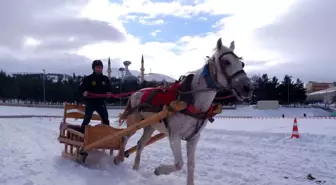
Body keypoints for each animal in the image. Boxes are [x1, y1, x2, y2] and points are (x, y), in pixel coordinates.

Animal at [115, 38, 252, 185]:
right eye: (226, 62)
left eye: (242, 63)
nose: (248, 88)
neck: (190, 100)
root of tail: (135, 93)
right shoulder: (174, 135)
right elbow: (179, 164)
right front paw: (159, 170)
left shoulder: (194, 138)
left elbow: (191, 165)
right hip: (134, 123)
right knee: (124, 137)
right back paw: (118, 159)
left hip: (150, 126)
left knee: (140, 144)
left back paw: (135, 168)